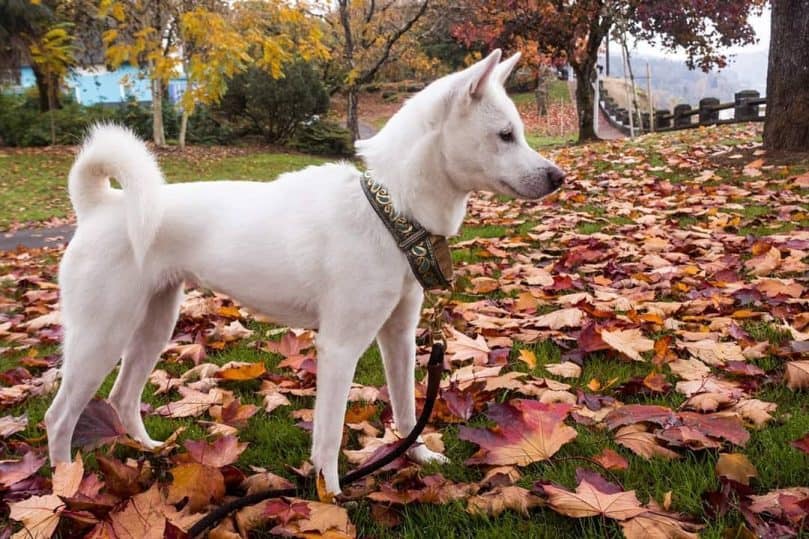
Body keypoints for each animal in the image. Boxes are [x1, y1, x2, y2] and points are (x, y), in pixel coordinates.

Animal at [44, 48, 560, 496]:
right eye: (505, 135)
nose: (558, 177)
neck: (388, 212)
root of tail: (100, 206)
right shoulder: (340, 348)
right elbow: (328, 435)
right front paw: (331, 495)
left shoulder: (398, 336)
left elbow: (406, 410)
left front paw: (415, 458)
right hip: (101, 337)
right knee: (59, 417)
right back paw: (65, 489)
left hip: (153, 326)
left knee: (122, 399)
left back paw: (150, 452)